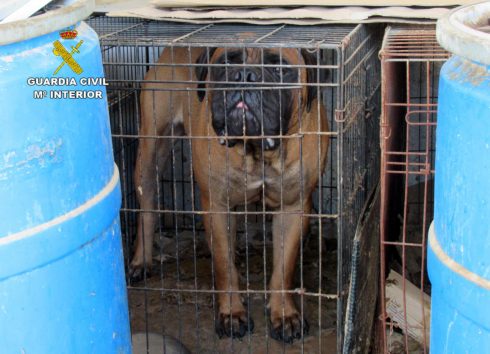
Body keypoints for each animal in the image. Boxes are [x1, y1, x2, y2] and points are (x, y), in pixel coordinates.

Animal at [132, 46, 328, 342]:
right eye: (225, 63)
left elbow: (284, 267)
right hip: (151, 149)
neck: (257, 152)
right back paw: (140, 261)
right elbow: (224, 266)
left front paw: (285, 315)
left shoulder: (293, 207)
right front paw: (232, 314)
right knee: (147, 207)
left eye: (280, 69)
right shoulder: (217, 206)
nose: (245, 76)